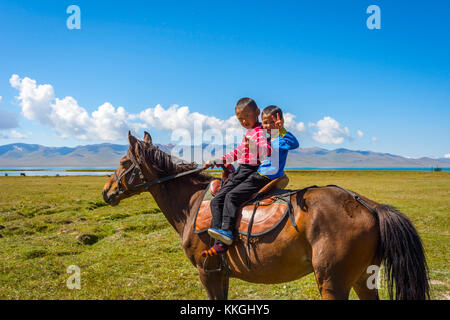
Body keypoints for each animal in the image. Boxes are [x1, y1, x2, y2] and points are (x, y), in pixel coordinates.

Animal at [102, 131, 428, 300]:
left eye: (124, 162)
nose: (106, 191)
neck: (191, 202)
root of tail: (367, 204)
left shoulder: (207, 271)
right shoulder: (221, 273)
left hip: (332, 282)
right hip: (363, 279)